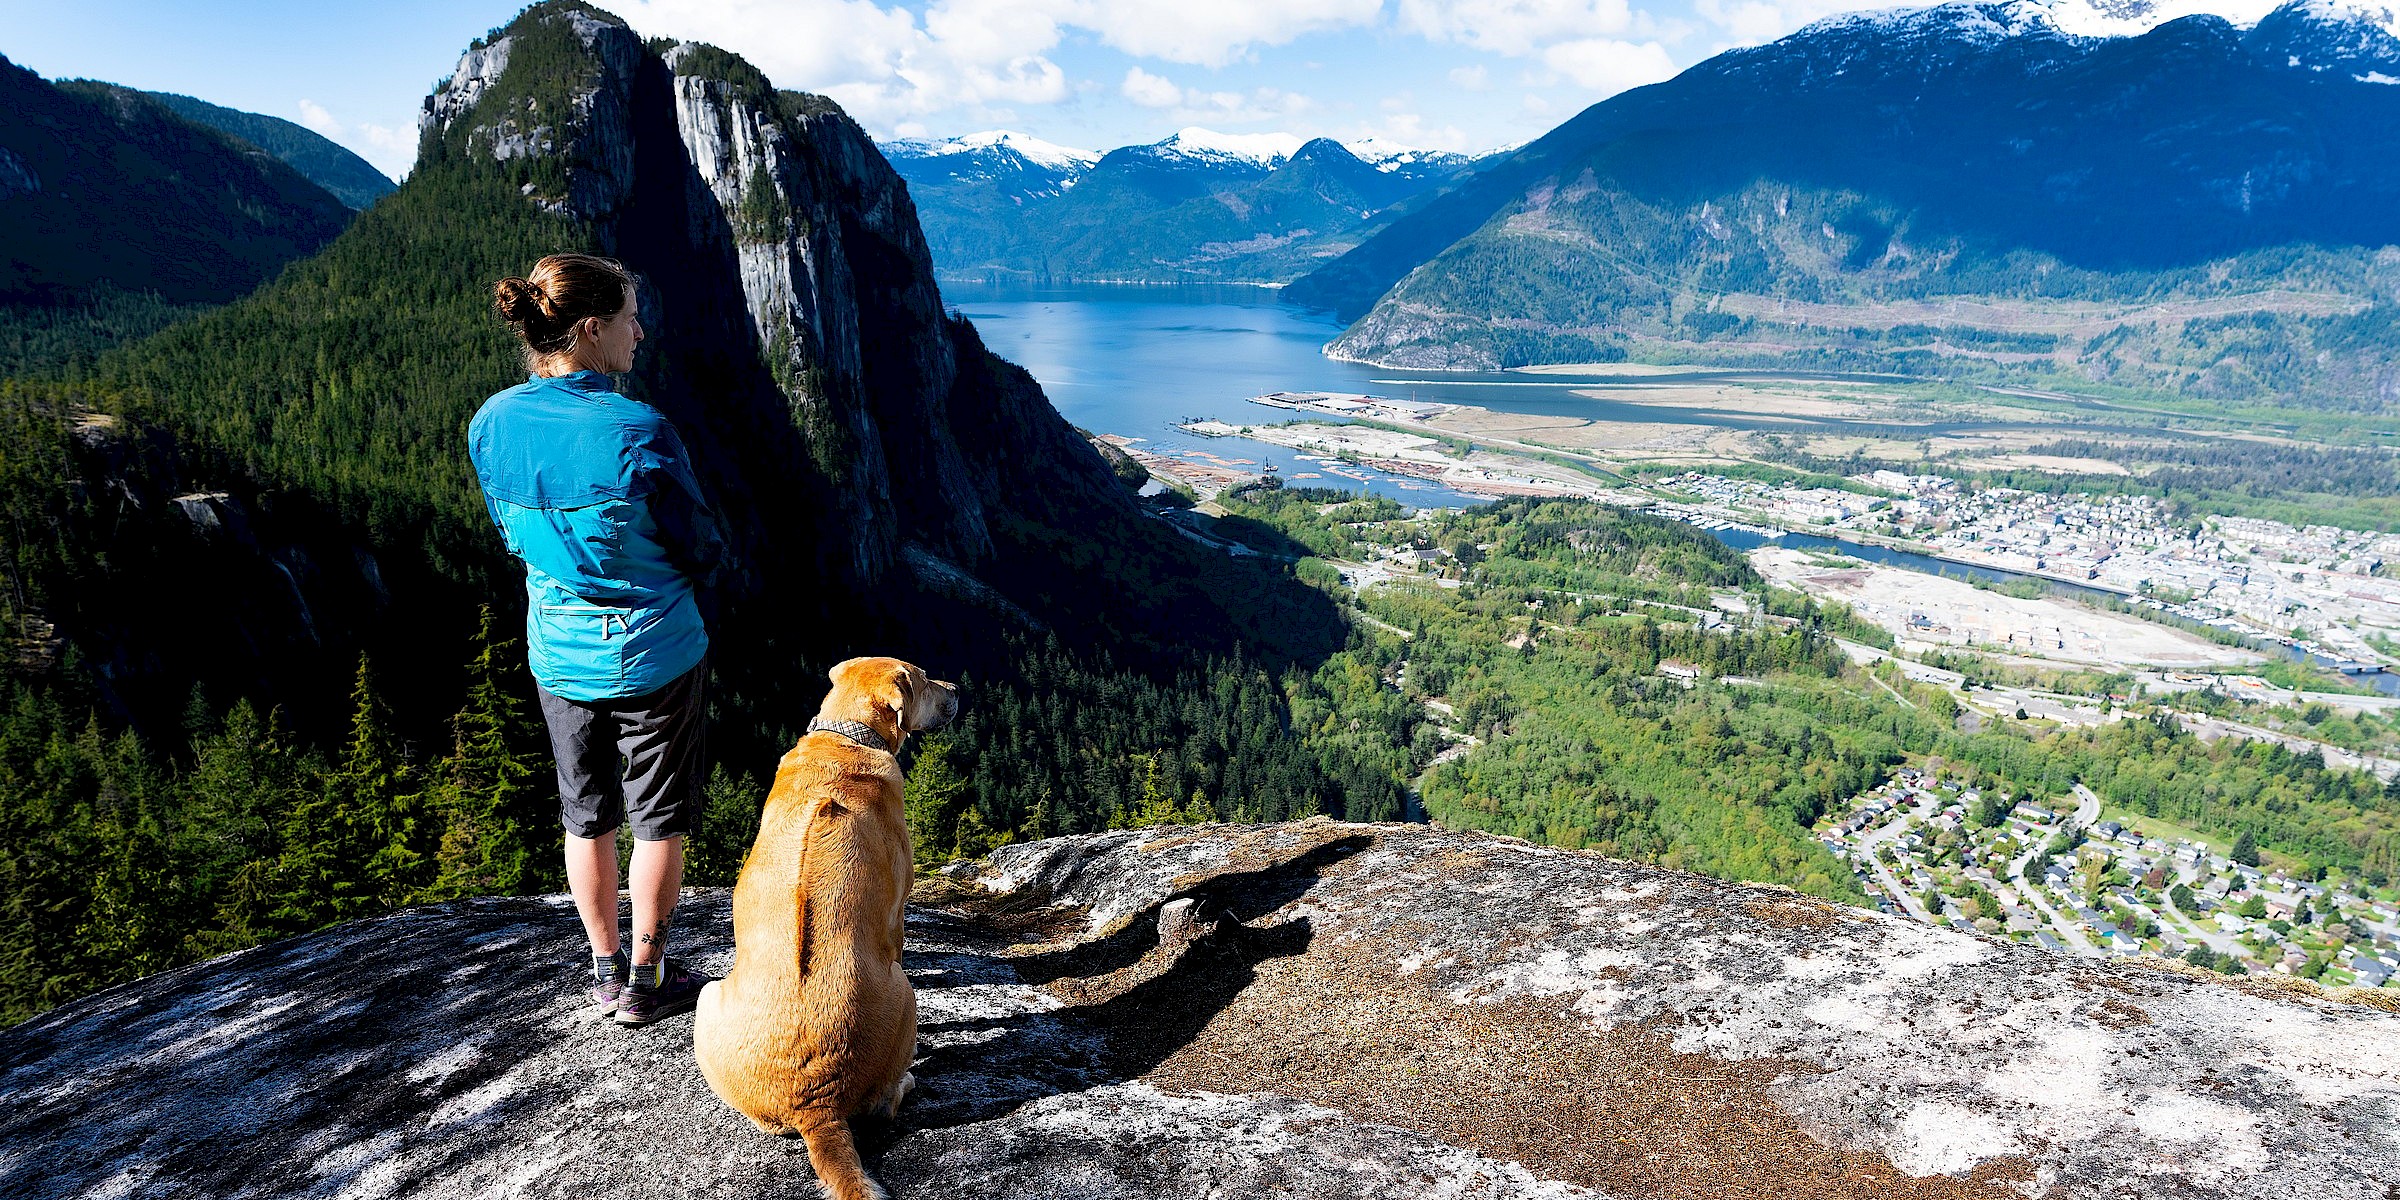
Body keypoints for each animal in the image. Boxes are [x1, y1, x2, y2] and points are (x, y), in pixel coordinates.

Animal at [696, 657, 955, 1200]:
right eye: (923, 679)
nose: (958, 689)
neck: (846, 736)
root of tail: (816, 1103)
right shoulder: (897, 914)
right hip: (904, 994)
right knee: (883, 1105)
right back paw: (905, 1082)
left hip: (707, 1001)